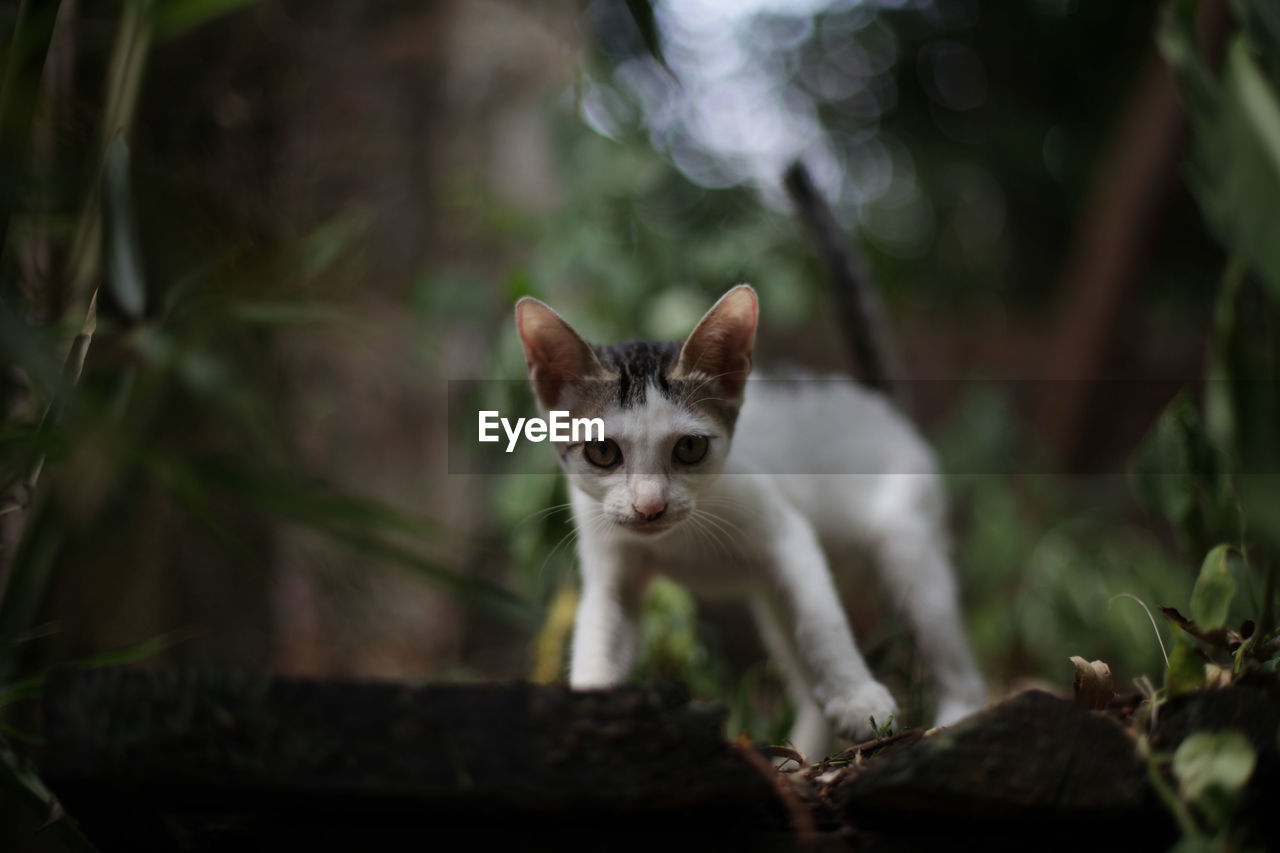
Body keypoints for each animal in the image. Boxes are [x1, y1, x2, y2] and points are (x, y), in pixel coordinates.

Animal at [514, 285, 983, 758]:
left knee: (954, 658)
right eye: (602, 451)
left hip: (907, 543)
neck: (675, 539)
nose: (650, 507)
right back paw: (800, 755)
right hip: (775, 601)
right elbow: (603, 626)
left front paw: (856, 697)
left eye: (689, 448)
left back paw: (952, 720)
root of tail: (882, 407)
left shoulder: (788, 534)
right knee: (801, 675)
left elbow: (821, 620)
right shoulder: (609, 563)